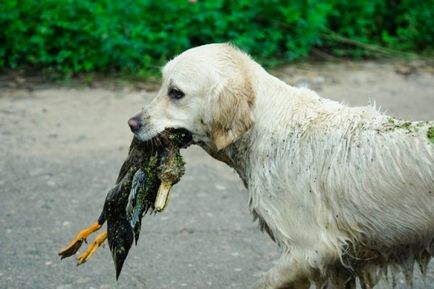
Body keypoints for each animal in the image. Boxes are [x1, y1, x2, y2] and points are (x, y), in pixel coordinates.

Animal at [129, 43, 434, 288]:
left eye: (176, 93)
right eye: (162, 85)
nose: (132, 123)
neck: (264, 127)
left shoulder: (311, 249)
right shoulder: (338, 262)